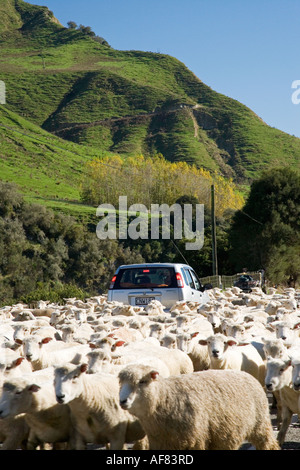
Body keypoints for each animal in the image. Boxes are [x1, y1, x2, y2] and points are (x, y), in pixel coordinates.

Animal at [117, 366, 278, 450]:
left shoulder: (195, 439)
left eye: (142, 381)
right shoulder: (160, 442)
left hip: (260, 424)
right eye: (121, 383)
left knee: (268, 444)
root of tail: (247, 375)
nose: (122, 401)